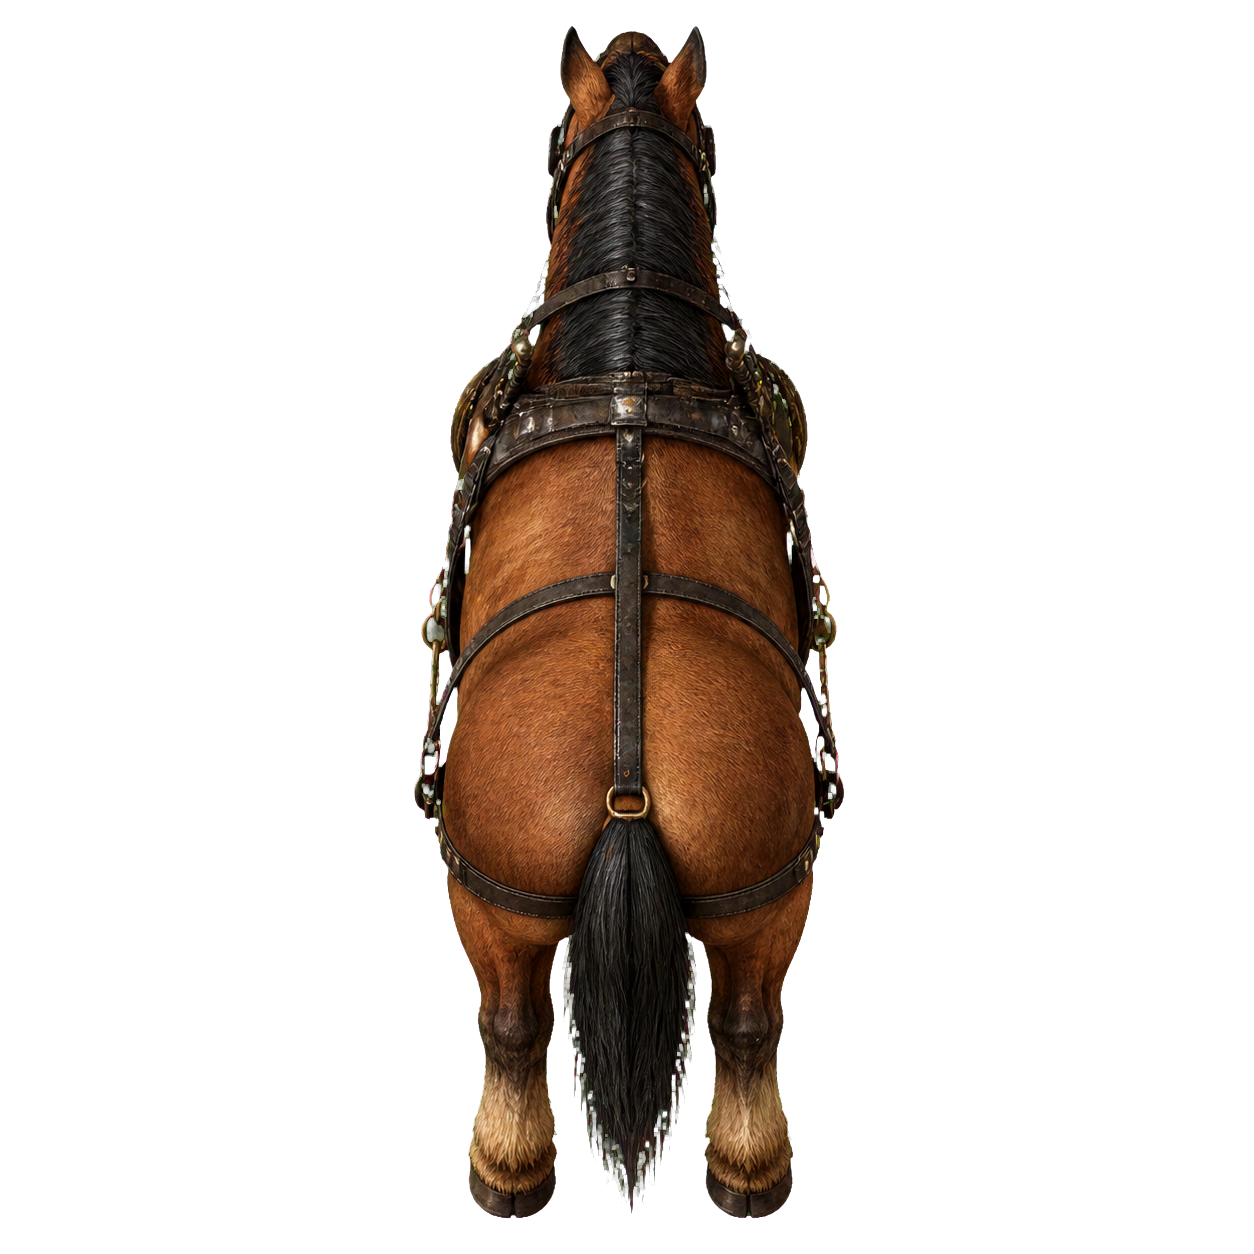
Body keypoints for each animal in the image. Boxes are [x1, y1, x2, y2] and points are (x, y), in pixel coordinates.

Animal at [416, 26, 842, 1219]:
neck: (628, 363)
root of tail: (628, 777)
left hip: (509, 903)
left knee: (518, 1024)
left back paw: (510, 1167)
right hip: (752, 902)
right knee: (739, 1023)